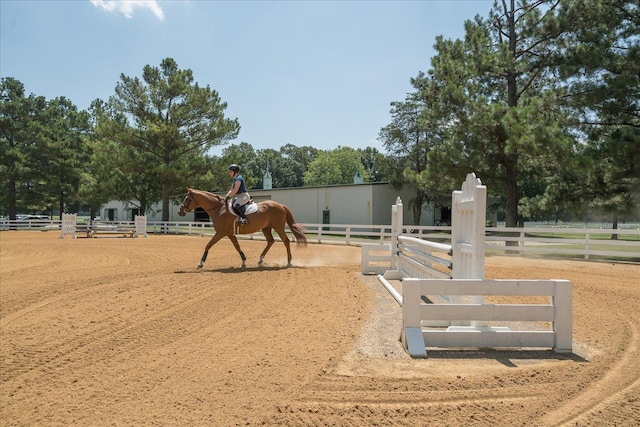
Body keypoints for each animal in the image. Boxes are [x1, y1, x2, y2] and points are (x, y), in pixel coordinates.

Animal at [178, 189, 308, 270]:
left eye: (187, 199)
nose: (180, 212)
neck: (219, 209)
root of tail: (280, 205)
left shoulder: (221, 233)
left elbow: (208, 245)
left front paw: (200, 263)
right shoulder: (230, 234)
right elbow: (237, 246)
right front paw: (244, 262)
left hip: (278, 227)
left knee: (286, 241)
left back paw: (289, 262)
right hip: (266, 228)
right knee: (270, 241)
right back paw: (260, 260)